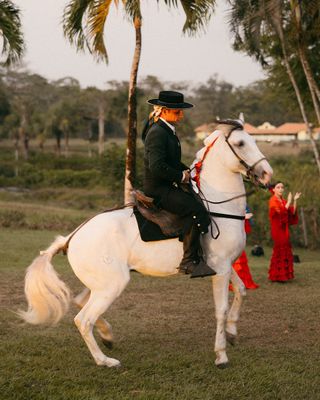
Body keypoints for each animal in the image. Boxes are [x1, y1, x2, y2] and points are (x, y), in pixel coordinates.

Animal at [18, 119, 272, 368]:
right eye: (240, 143)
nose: (267, 174)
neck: (219, 207)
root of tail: (72, 237)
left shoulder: (226, 266)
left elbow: (241, 290)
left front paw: (232, 332)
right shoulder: (220, 269)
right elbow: (221, 310)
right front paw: (221, 355)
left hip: (100, 284)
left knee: (81, 302)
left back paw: (107, 336)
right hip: (112, 284)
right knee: (83, 320)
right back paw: (105, 360)